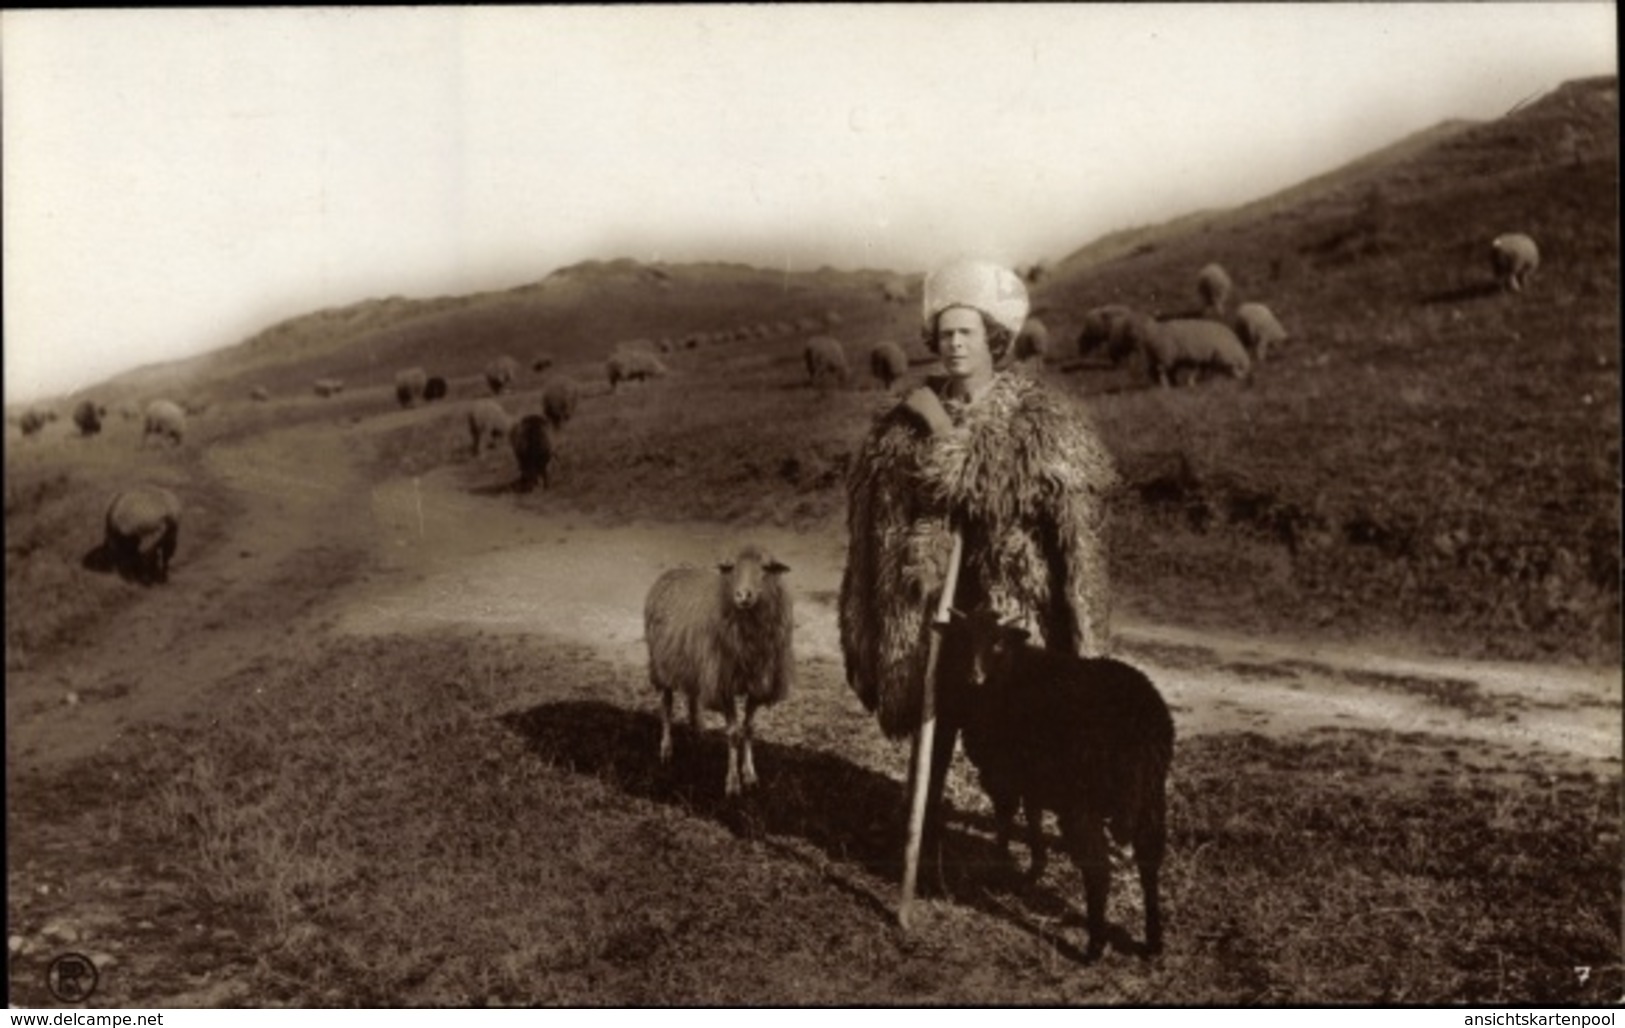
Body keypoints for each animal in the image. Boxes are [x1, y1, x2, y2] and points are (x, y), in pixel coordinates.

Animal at [646, 545, 799, 792]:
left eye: (766, 568)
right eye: (732, 567)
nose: (743, 595)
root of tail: (676, 568)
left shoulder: (757, 684)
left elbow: (749, 728)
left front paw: (750, 774)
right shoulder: (723, 683)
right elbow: (734, 733)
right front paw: (733, 782)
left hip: (695, 666)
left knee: (693, 698)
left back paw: (697, 731)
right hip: (662, 665)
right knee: (666, 707)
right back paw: (666, 748)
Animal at [955, 604, 1176, 961]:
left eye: (998, 643)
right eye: (964, 639)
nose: (972, 677)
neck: (1011, 671)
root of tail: (1141, 728)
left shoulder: (1003, 773)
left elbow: (1005, 820)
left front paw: (999, 867)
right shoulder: (1033, 777)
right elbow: (1032, 818)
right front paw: (1034, 869)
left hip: (1083, 799)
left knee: (1098, 870)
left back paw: (1094, 946)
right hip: (1152, 793)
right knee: (1149, 860)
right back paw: (1153, 941)